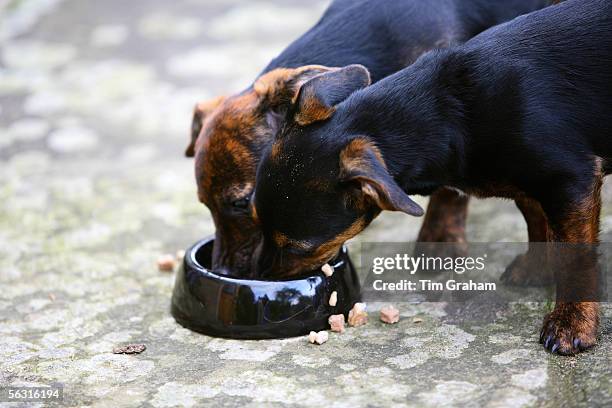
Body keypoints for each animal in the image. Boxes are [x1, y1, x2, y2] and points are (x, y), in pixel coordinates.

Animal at [256, 0, 608, 354]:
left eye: (298, 248)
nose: (263, 276)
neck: (451, 114)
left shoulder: (570, 180)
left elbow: (573, 258)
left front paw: (571, 323)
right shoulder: (532, 184)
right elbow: (536, 221)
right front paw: (536, 269)